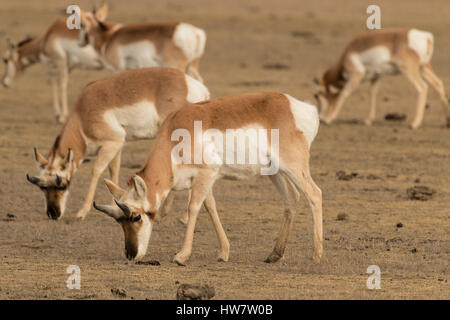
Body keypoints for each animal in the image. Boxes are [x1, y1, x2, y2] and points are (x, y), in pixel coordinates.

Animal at [24, 67, 207, 220]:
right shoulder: (117, 146)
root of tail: (194, 85)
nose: (53, 214)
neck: (82, 113)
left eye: (61, 185)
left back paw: (181, 216)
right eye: (42, 187)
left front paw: (82, 211)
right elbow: (114, 171)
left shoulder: (112, 143)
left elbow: (97, 171)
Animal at [94, 92, 324, 264]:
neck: (175, 134)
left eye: (137, 217)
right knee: (292, 198)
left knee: (315, 194)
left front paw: (181, 256)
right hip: (275, 172)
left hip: (293, 167)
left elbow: (194, 208)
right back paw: (274, 254)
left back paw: (316, 255)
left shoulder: (206, 174)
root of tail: (297, 106)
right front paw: (224, 252)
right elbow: (210, 207)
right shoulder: (204, 180)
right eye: (118, 220)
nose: (131, 254)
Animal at [312, 28, 450, 129]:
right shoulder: (376, 77)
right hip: (424, 68)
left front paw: (328, 119)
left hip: (410, 70)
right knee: (438, 84)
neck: (349, 52)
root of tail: (426, 37)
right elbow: (373, 94)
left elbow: (343, 94)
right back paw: (447, 122)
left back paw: (414, 123)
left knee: (422, 87)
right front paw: (368, 120)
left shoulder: (356, 76)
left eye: (316, 95)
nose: (320, 117)